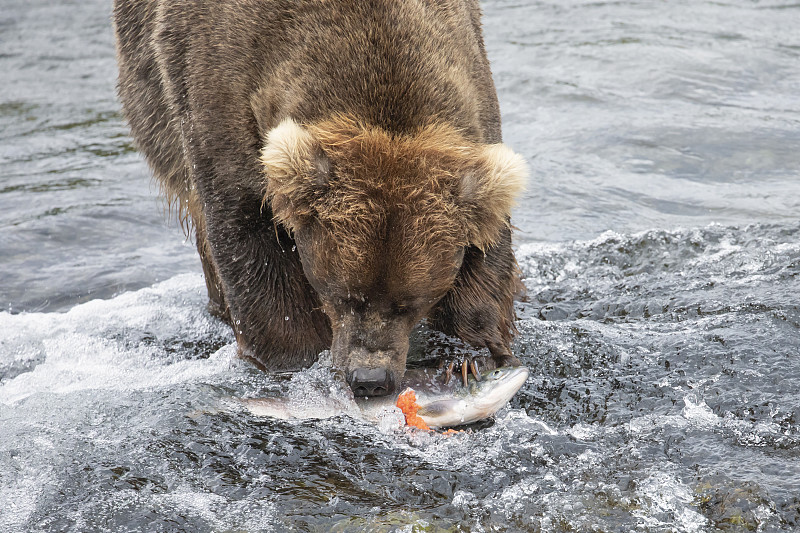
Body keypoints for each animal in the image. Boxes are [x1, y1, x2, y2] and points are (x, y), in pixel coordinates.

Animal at [112, 0, 524, 394]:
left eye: (409, 303)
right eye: (343, 295)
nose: (370, 378)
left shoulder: (474, 97)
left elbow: (486, 242)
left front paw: (467, 356)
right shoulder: (218, 90)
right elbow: (249, 237)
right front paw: (294, 360)